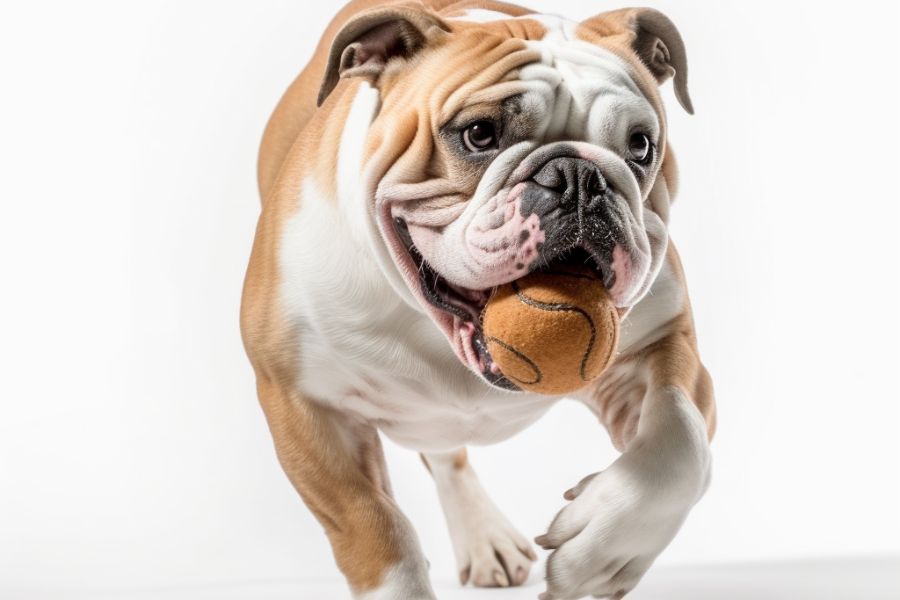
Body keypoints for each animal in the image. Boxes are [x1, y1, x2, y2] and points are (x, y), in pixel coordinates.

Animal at [241, 2, 716, 596]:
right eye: (479, 134)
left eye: (641, 146)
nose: (579, 177)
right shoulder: (303, 404)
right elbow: (373, 528)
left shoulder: (665, 340)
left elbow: (681, 441)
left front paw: (602, 553)